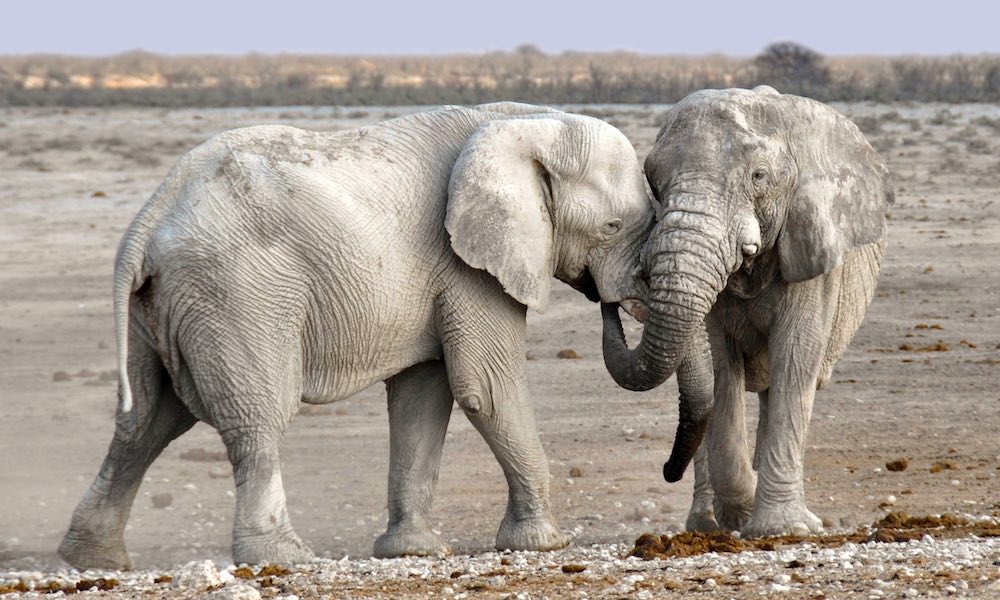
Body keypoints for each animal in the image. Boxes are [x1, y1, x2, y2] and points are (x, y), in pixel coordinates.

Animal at [62, 101, 656, 568]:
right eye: (611, 228)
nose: (610, 302)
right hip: (236, 293)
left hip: (163, 306)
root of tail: (149, 217)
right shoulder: (467, 265)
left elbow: (423, 398)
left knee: (146, 421)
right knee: (257, 417)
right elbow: (486, 389)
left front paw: (413, 551)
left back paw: (93, 559)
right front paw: (544, 543)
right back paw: (285, 558)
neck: (528, 122)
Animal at [596, 85, 896, 540]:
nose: (610, 301)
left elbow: (796, 356)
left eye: (759, 177)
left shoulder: (811, 247)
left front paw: (783, 529)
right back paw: (706, 525)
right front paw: (744, 512)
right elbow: (720, 367)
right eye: (654, 181)